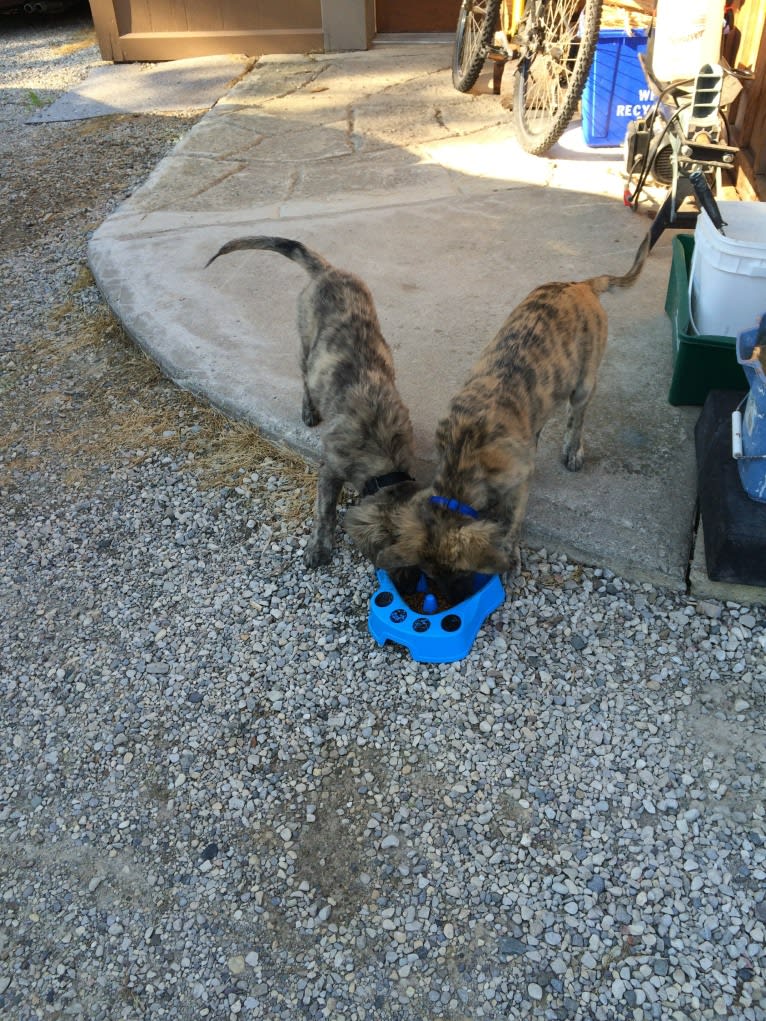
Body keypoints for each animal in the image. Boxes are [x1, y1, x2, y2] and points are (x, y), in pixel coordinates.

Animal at [205, 235, 420, 571]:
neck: (384, 454)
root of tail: (327, 270)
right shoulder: (330, 468)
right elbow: (325, 511)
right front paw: (319, 547)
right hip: (306, 340)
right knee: (305, 377)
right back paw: (308, 410)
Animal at [347, 231, 653, 600]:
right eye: (429, 574)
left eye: (459, 573)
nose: (448, 601)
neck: (463, 455)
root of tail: (580, 285)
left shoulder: (519, 483)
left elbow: (510, 519)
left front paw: (510, 553)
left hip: (583, 382)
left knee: (576, 417)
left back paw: (573, 450)